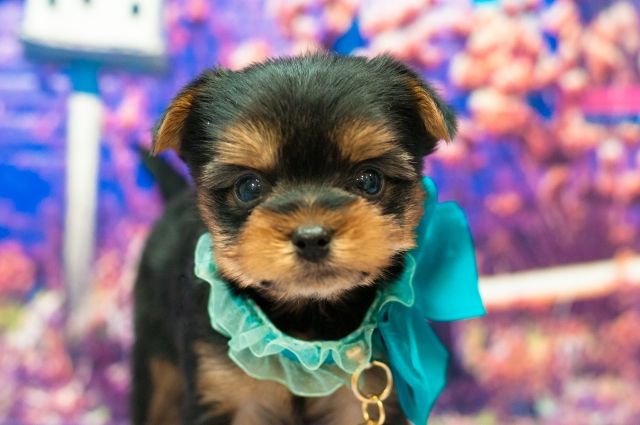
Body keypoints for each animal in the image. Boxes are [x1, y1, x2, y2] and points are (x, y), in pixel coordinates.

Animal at [131, 53, 456, 425]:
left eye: (369, 180)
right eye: (248, 187)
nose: (311, 237)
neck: (306, 322)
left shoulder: (366, 397)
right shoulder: (219, 389)